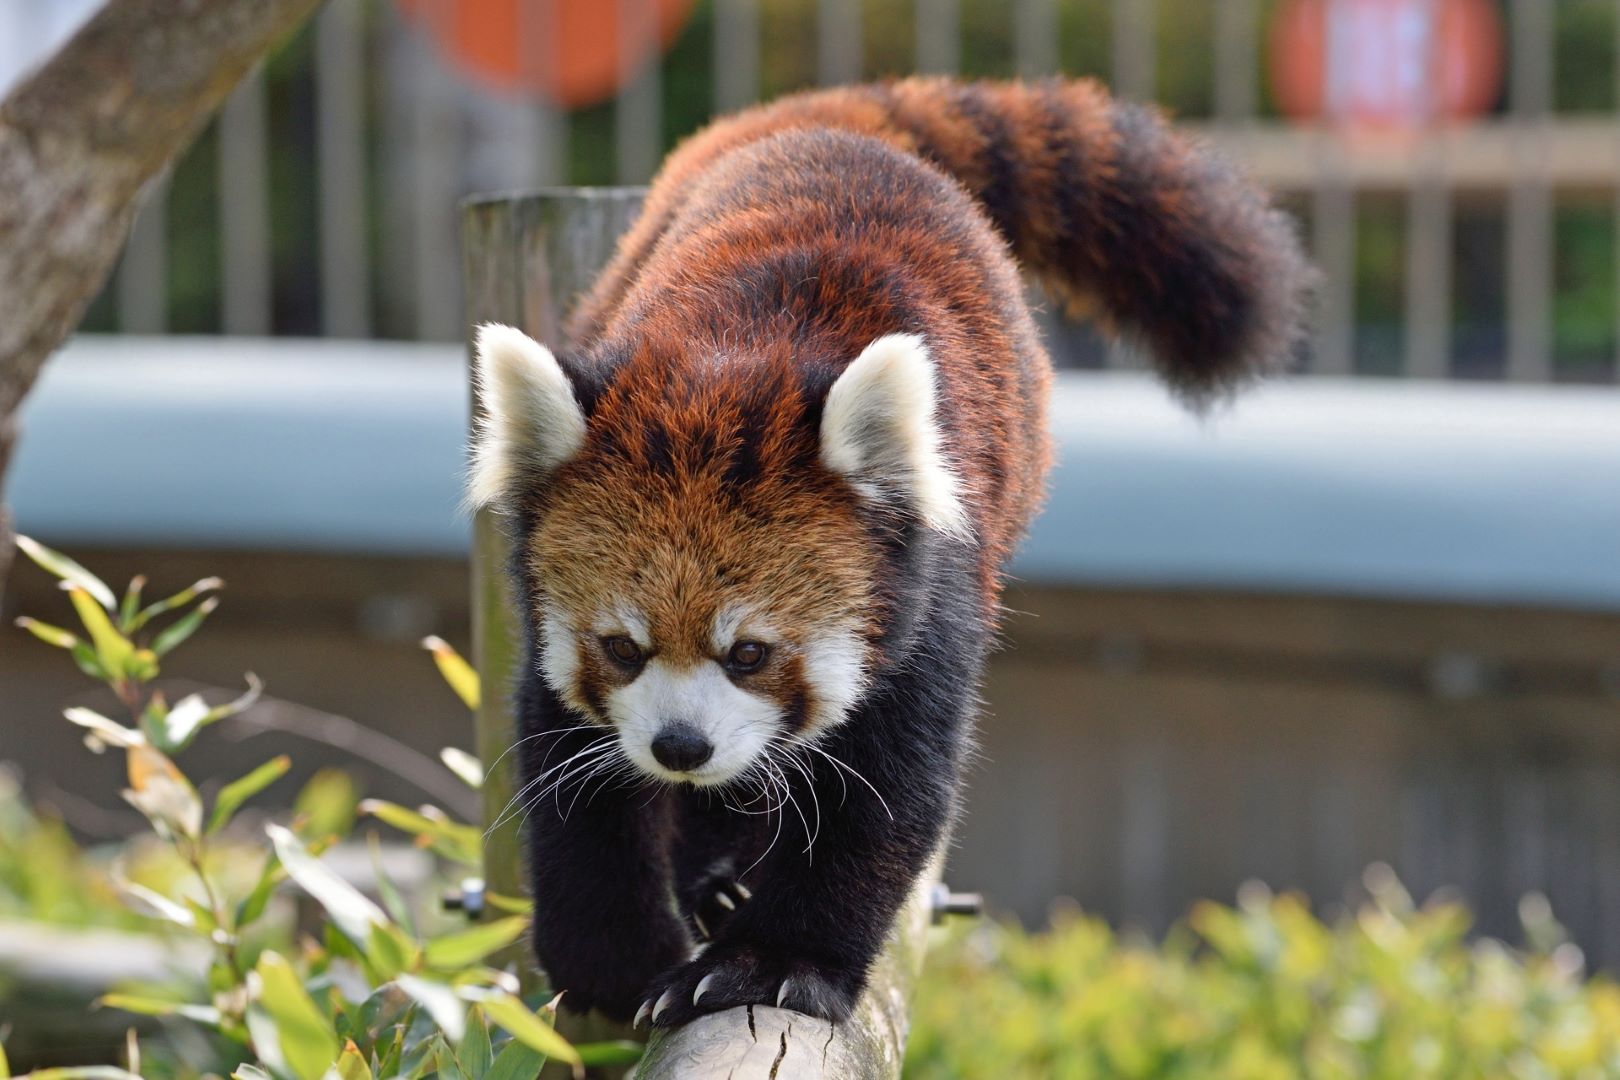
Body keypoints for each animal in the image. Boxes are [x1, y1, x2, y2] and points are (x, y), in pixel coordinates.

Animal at [463, 78, 1308, 1029]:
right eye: (620, 648)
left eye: (750, 653)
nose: (681, 748)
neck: (731, 362)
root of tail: (833, 133)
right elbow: (575, 778)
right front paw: (613, 961)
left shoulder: (928, 598)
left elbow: (884, 798)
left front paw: (772, 962)